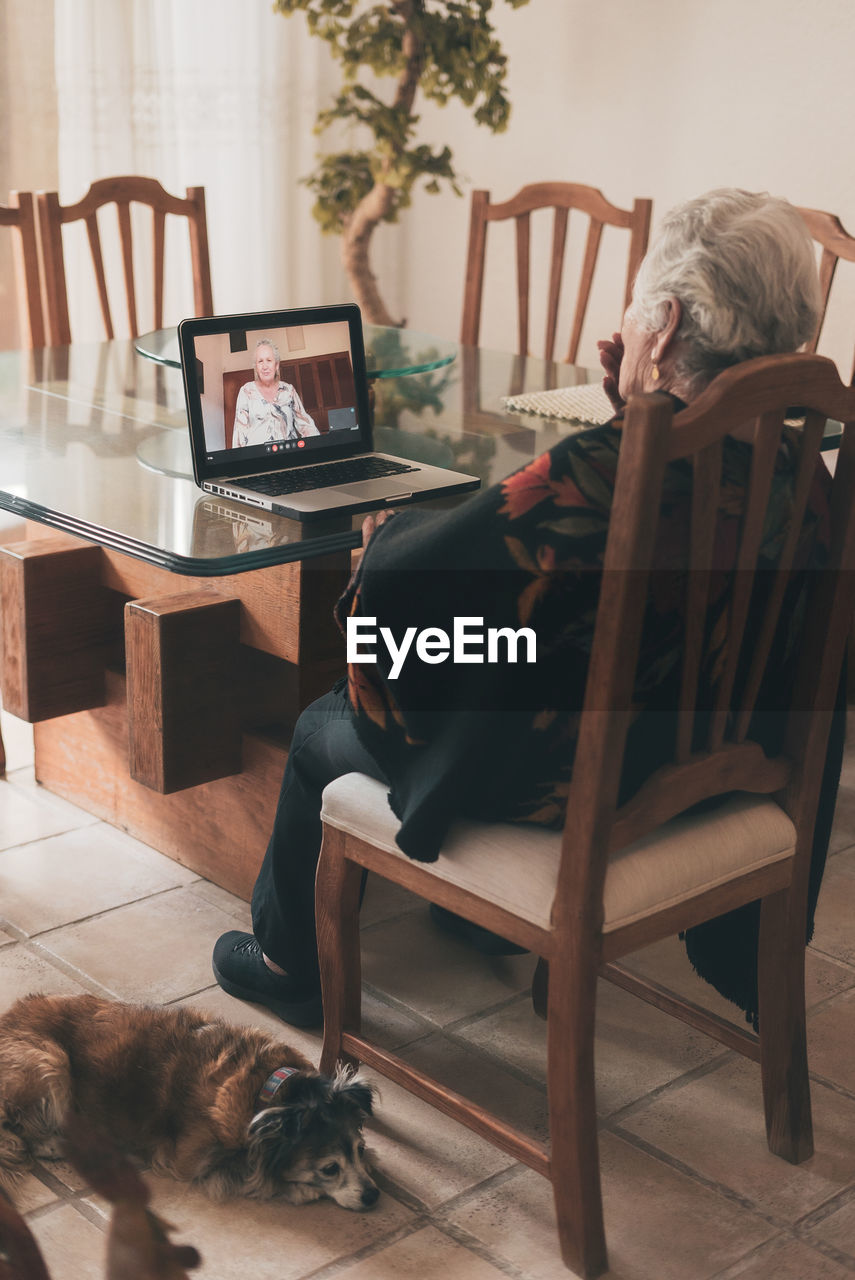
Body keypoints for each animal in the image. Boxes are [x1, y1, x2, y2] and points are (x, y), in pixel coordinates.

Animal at [0, 993, 376, 1213]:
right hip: (50, 1058)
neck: (271, 1087)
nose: (374, 1197)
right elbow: (253, 1173)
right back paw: (53, 1141)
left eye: (358, 1150)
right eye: (329, 1168)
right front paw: (298, 1190)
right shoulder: (192, 1159)